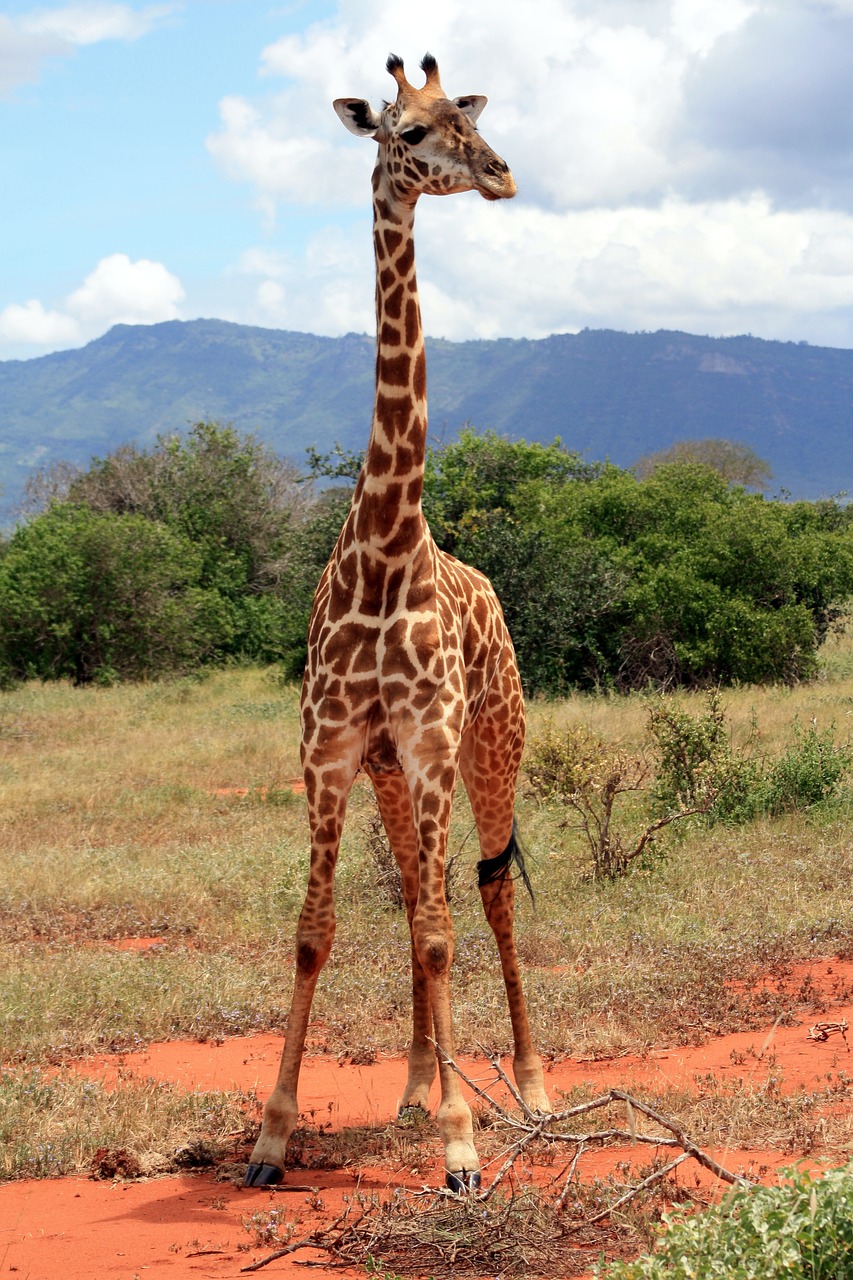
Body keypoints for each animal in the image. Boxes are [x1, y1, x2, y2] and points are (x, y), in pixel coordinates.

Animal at [242, 49, 548, 1187]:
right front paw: (272, 1135)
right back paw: (417, 1084)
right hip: (391, 774)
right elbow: (316, 928)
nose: (503, 173)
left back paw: (527, 1085)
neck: (383, 549)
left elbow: (437, 930)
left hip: (492, 745)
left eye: (467, 115)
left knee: (484, 893)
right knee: (426, 888)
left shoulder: (427, 744)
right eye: (407, 132)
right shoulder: (333, 752)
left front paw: (463, 1142)